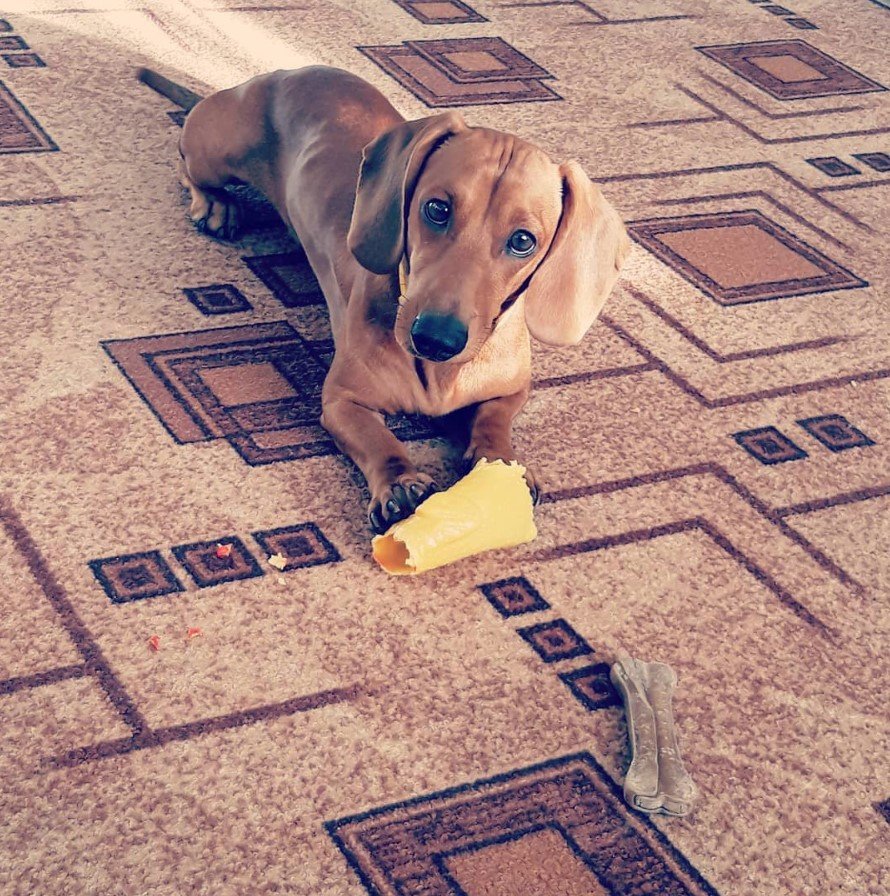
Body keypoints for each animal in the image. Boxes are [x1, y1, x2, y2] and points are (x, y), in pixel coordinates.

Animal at [139, 70, 628, 536]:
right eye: (437, 209)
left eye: (523, 240)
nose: (435, 339)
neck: (439, 376)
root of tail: (268, 78)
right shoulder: (343, 402)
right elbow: (380, 441)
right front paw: (400, 483)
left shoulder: (509, 390)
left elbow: (493, 421)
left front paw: (501, 462)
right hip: (215, 155)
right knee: (186, 165)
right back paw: (215, 206)